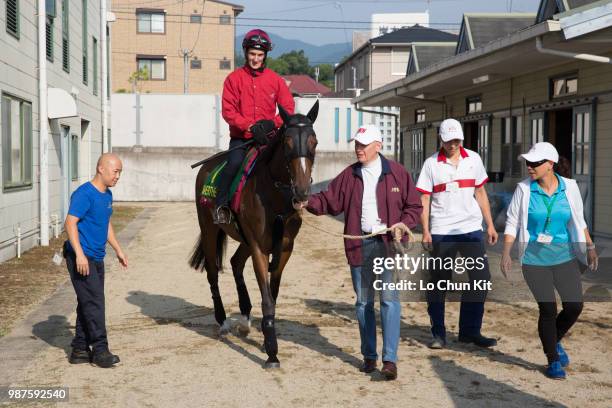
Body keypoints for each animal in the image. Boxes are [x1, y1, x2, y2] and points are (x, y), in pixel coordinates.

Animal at [189, 100, 318, 368]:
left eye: (314, 141)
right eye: (287, 142)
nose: (302, 192)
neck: (275, 195)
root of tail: (206, 167)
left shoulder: (285, 248)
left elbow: (273, 294)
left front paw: (267, 335)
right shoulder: (259, 248)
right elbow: (267, 298)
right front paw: (272, 352)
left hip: (245, 240)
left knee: (235, 262)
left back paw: (245, 317)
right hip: (209, 229)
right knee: (213, 273)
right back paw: (223, 321)